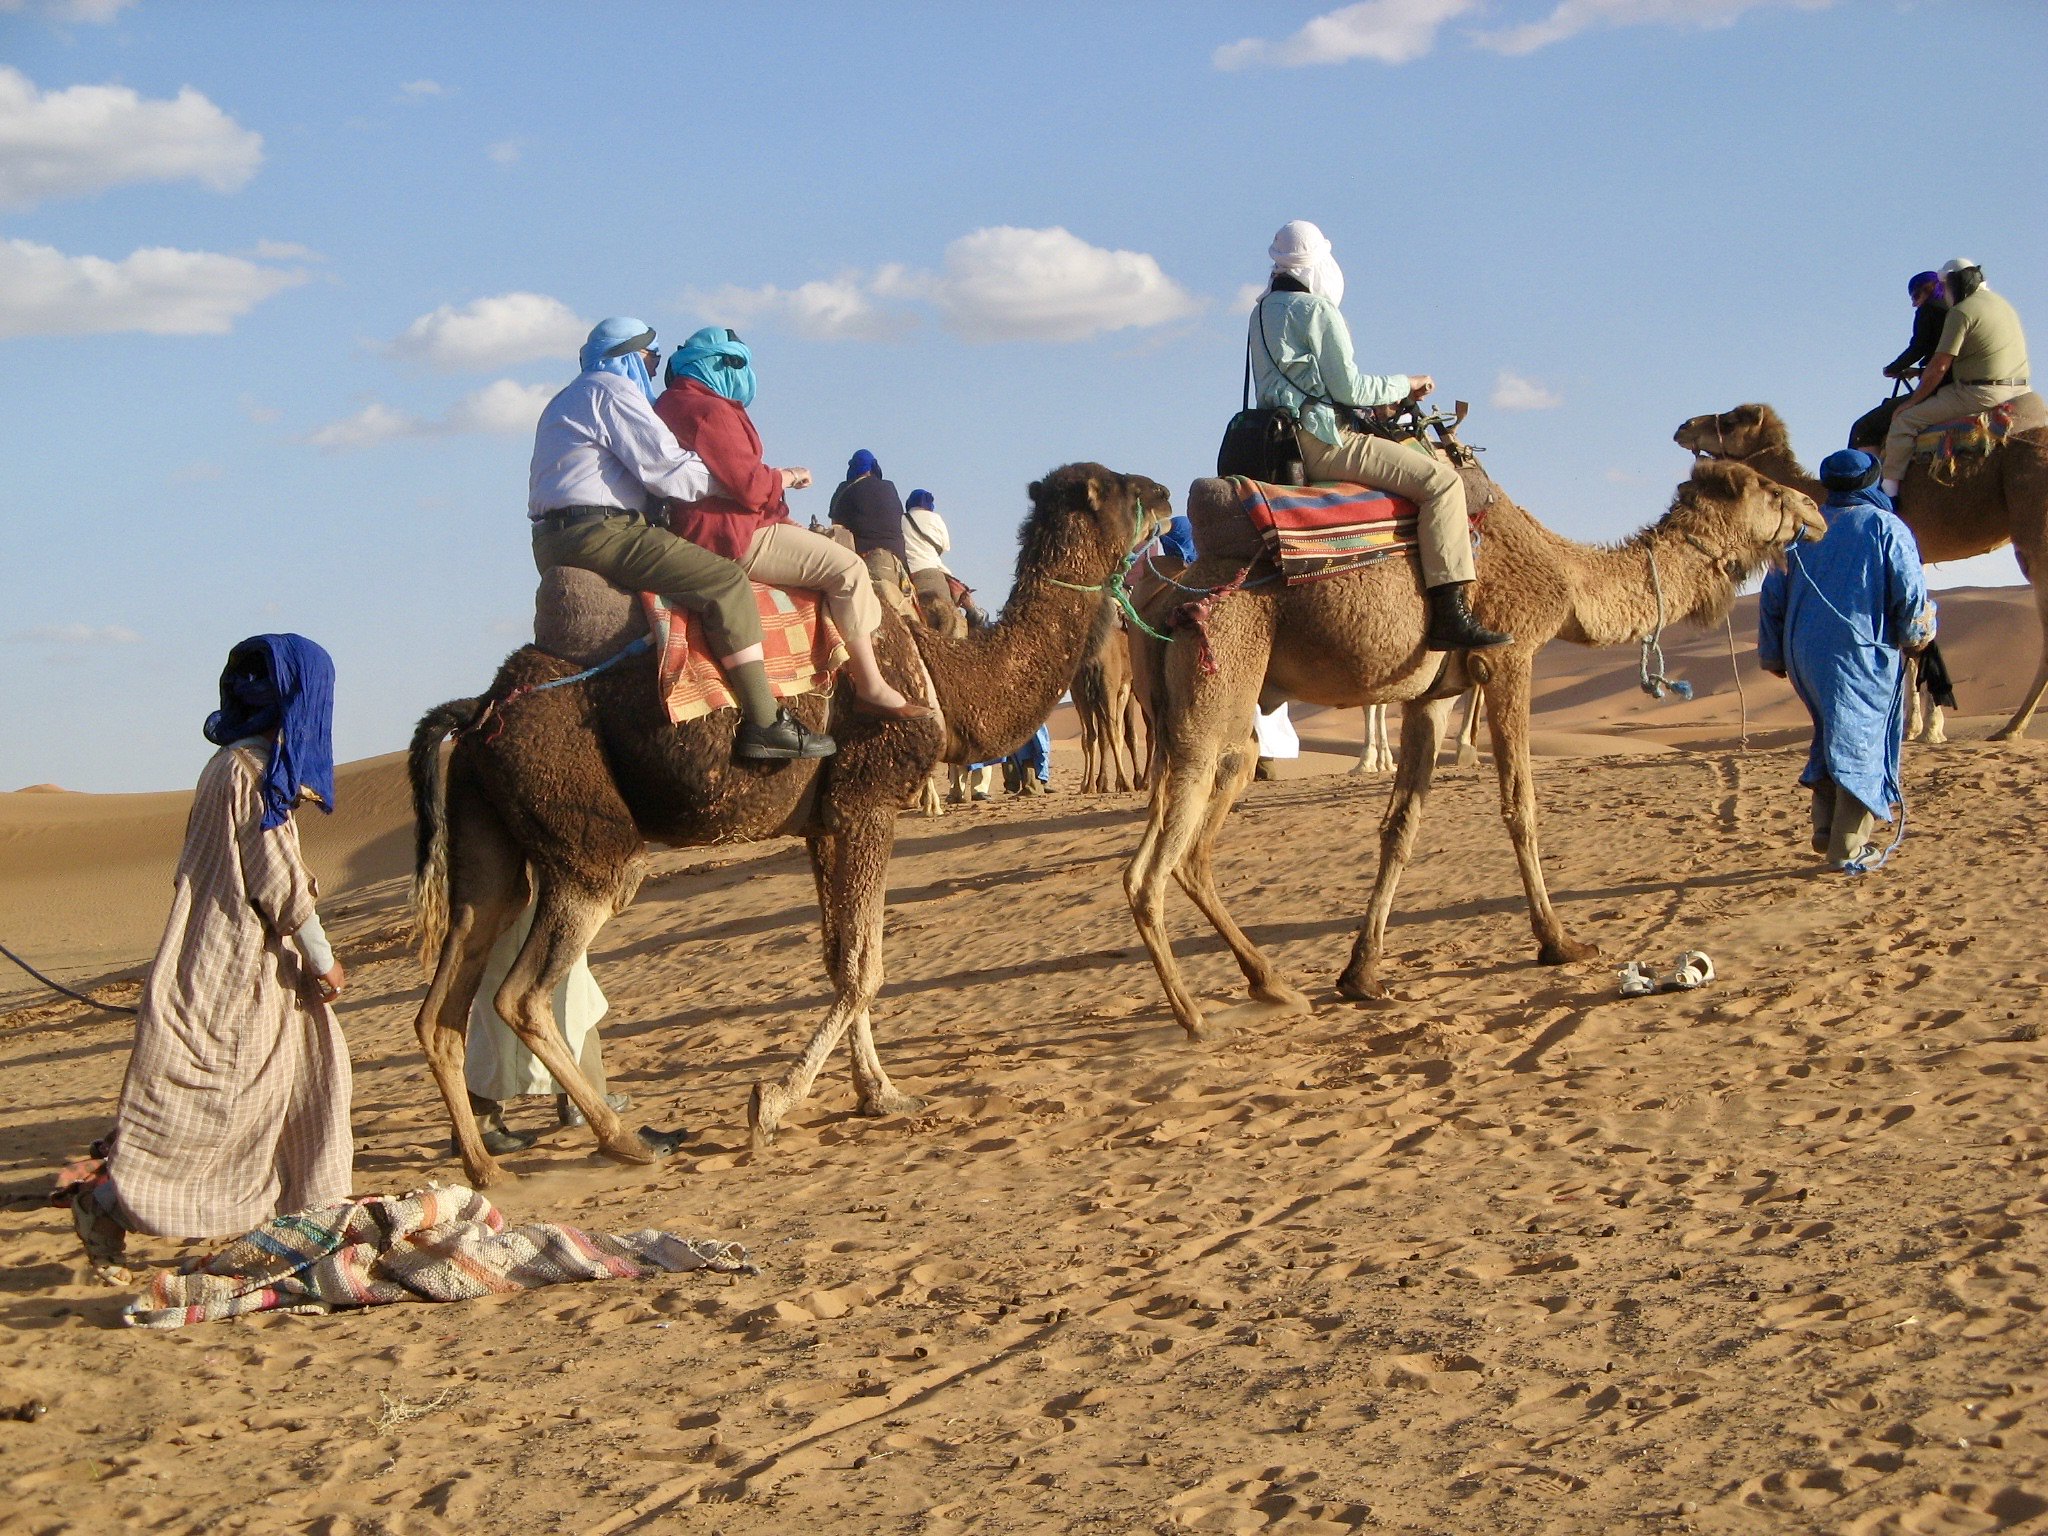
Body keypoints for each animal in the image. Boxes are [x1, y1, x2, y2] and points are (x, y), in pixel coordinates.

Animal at [409, 464, 1166, 1185]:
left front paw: (880, 1094)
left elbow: (842, 961)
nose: (1162, 493)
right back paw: (627, 1139)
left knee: (445, 997)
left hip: (490, 844)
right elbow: (865, 968)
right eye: (1117, 487)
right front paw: (771, 1104)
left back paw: (484, 1163)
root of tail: (479, 713)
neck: (939, 674)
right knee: (523, 993)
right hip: (589, 841)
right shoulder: (867, 800)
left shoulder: (824, 823)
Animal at [1124, 457, 1821, 1038]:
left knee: (1185, 851)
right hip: (1219, 675)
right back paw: (1194, 1018)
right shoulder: (1510, 654)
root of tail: (1167, 596)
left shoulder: (1432, 692)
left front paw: (1362, 975)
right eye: (1769, 488)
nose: (1814, 512)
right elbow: (1521, 805)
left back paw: (1272, 986)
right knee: (1153, 868)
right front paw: (1561, 943)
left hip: (1200, 721)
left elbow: (1401, 824)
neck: (1565, 575)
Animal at [1675, 401, 2048, 740]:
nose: (1684, 426)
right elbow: (1913, 634)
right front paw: (1916, 727)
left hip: (2033, 531)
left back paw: (2011, 728)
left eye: (1732, 421)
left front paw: (1925, 730)